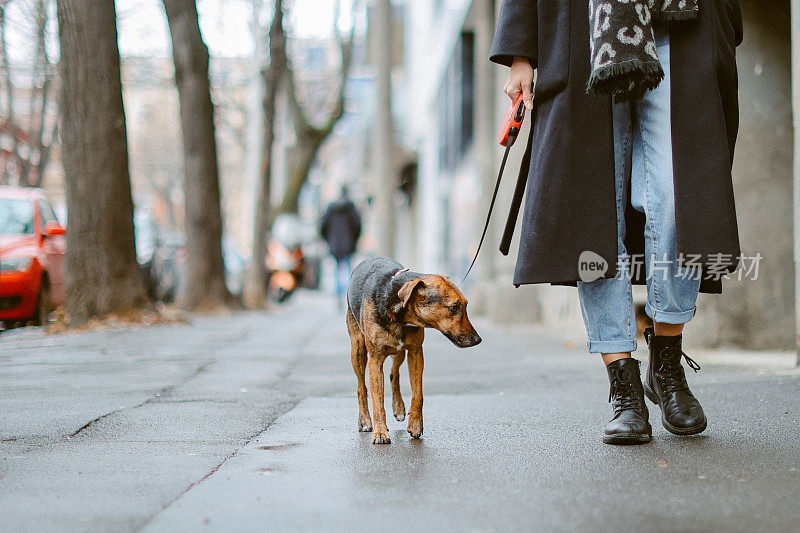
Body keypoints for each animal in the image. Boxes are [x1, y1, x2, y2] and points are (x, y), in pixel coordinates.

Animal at [346, 256, 482, 442]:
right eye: (453, 307)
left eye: (466, 304)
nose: (477, 340)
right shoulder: (375, 359)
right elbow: (377, 399)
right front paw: (380, 432)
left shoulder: (416, 352)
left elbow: (418, 393)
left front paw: (416, 425)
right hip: (358, 349)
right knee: (362, 387)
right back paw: (365, 420)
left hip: (400, 352)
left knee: (394, 374)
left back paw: (398, 407)